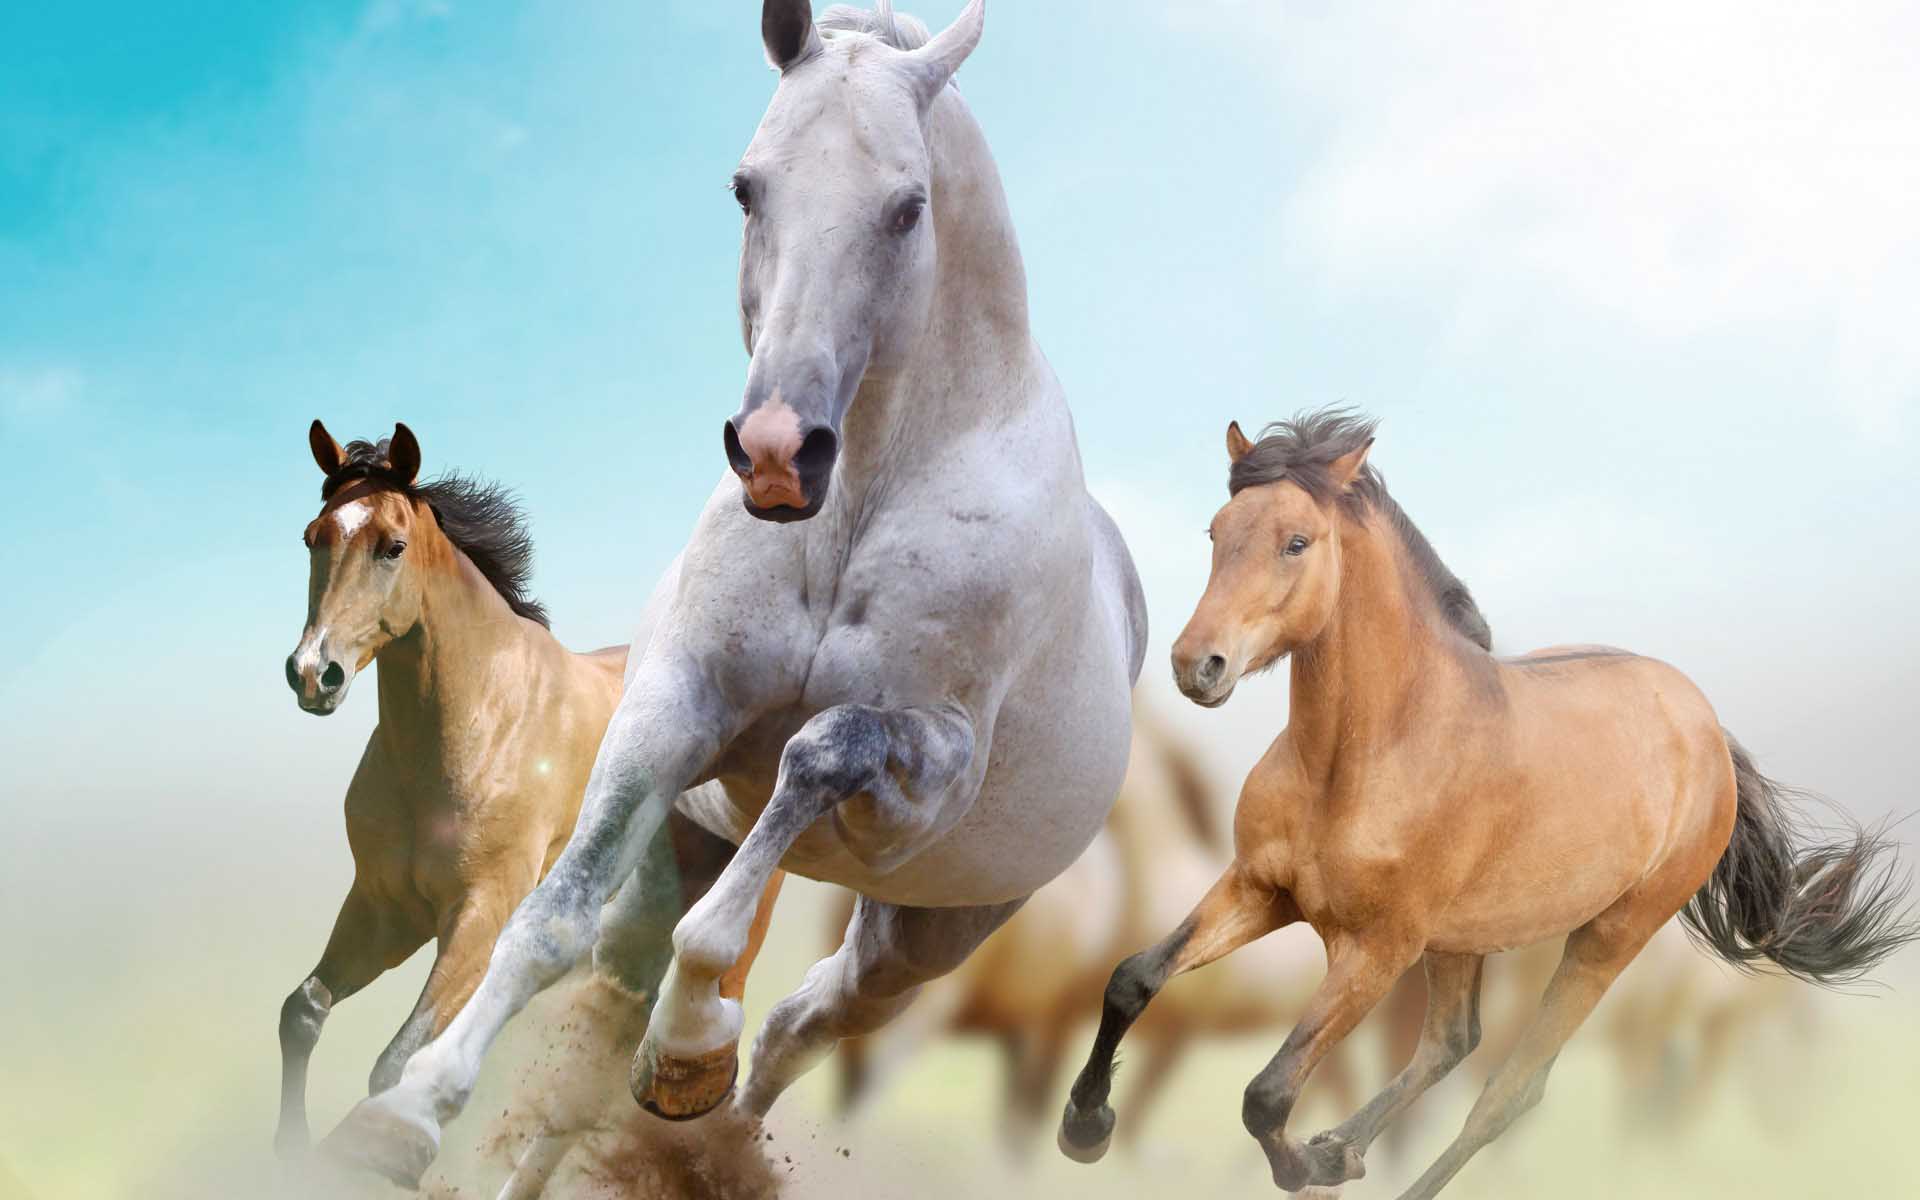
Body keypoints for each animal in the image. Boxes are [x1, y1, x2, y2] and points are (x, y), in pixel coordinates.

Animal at [276, 422, 781, 1198]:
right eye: (313, 537)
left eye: (392, 546)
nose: (313, 674)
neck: (478, 725)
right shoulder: (384, 908)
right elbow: (303, 1012)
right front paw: (289, 1153)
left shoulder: (480, 915)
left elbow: (395, 1061)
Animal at [323, 2, 1146, 1186]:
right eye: (748, 187)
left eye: (909, 207)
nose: (776, 455)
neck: (854, 509)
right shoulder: (675, 708)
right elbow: (549, 921)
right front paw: (407, 1113)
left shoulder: (921, 779)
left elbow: (815, 757)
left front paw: (691, 1038)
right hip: (688, 848)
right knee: (614, 1022)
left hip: (922, 936)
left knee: (804, 1025)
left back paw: (699, 1095)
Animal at [1058, 409, 1914, 1197]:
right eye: (1217, 531)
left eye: (1296, 541)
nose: (1195, 665)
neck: (1361, 758)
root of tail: (1706, 730)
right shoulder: (1261, 890)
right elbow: (1133, 977)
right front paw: (1085, 1128)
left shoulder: (1375, 949)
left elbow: (1266, 1094)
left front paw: (1302, 1165)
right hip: (1462, 939)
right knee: (1451, 1044)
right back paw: (1344, 1145)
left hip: (1605, 941)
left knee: (1507, 1091)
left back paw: (1356, 1158)